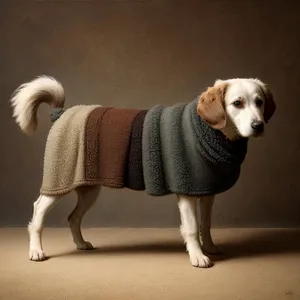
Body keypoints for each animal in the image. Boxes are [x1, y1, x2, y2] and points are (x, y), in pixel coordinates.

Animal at [9, 76, 276, 268]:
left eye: (259, 102)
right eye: (237, 103)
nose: (258, 126)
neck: (209, 130)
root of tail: (63, 112)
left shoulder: (206, 192)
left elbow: (206, 224)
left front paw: (208, 247)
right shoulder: (187, 193)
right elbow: (191, 227)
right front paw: (198, 256)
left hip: (88, 188)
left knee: (73, 217)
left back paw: (81, 243)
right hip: (59, 180)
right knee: (38, 212)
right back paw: (36, 250)